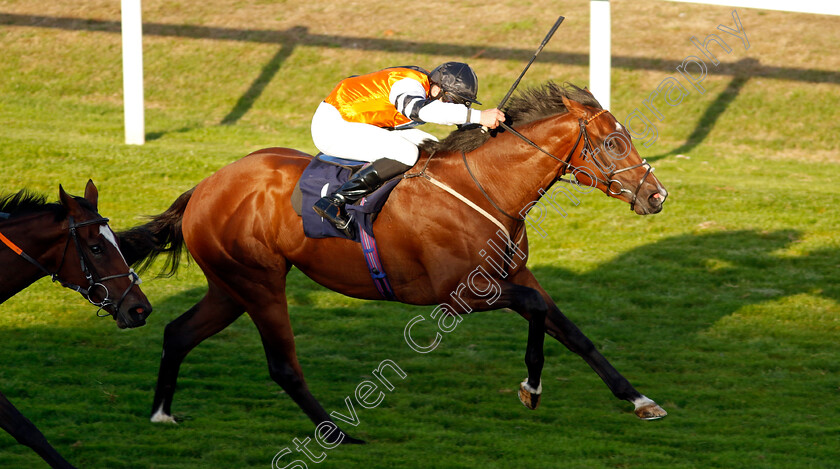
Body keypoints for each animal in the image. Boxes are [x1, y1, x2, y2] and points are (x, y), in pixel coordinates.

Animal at [120, 82, 668, 444]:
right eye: (613, 142)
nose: (656, 196)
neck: (485, 188)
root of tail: (204, 187)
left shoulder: (513, 274)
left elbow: (574, 333)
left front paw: (640, 400)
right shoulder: (460, 294)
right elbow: (535, 309)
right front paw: (530, 388)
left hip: (231, 287)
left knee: (178, 333)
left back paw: (161, 414)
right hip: (258, 284)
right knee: (282, 365)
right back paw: (337, 435)